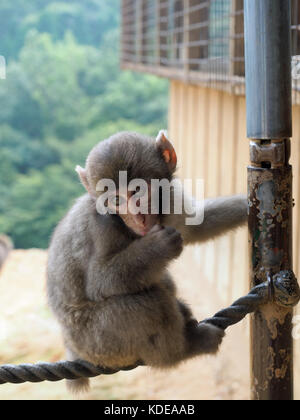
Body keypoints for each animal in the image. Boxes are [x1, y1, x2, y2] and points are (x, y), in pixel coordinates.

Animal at [47, 131, 248, 394]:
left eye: (138, 191)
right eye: (116, 200)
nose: (137, 217)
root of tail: (71, 345)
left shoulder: (170, 197)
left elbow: (198, 225)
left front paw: (249, 206)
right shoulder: (102, 224)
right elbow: (100, 282)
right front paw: (158, 247)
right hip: (99, 341)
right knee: (150, 304)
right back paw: (186, 349)